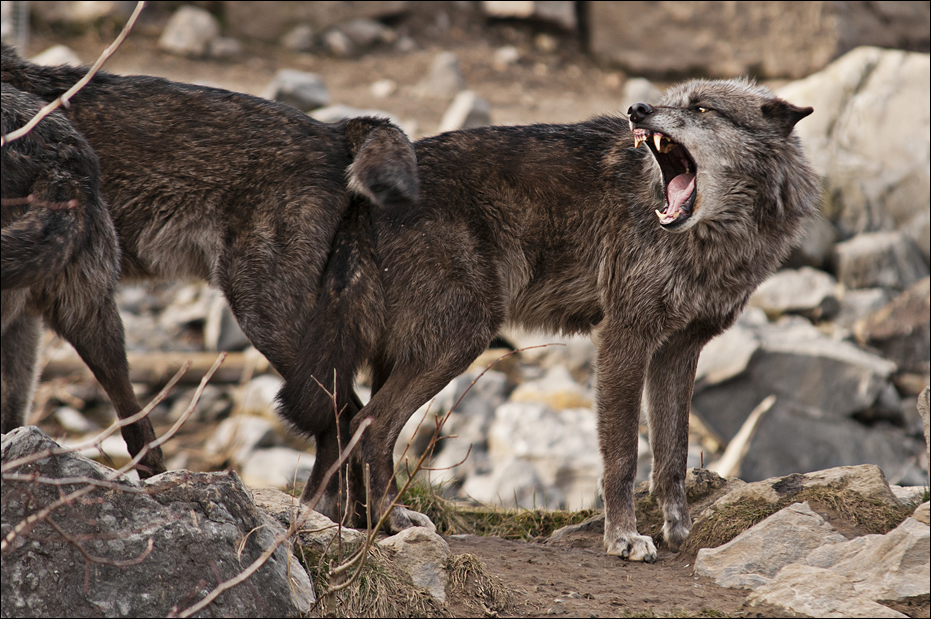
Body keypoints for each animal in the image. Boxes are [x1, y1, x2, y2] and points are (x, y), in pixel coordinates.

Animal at [288, 78, 820, 560]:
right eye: (670, 100)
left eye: (702, 108)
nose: (638, 109)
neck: (714, 239)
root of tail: (359, 198)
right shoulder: (624, 338)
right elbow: (623, 456)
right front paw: (624, 538)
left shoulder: (678, 351)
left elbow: (673, 454)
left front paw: (679, 531)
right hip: (463, 337)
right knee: (371, 423)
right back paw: (390, 521)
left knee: (360, 422)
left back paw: (363, 521)